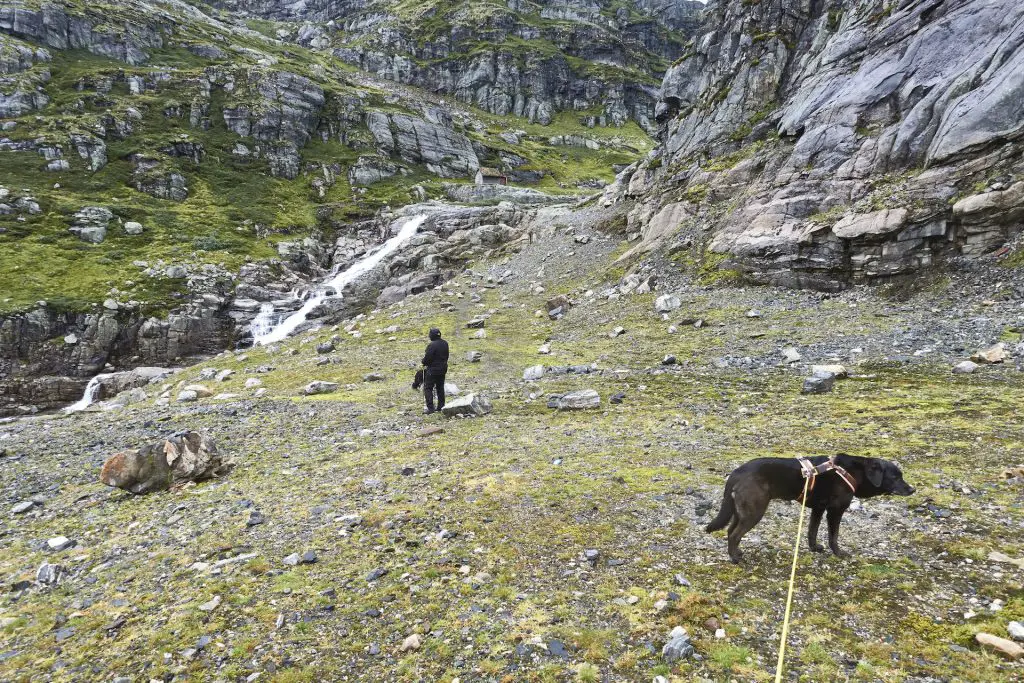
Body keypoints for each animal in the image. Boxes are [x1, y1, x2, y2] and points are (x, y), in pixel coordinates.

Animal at [708, 456, 917, 565]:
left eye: (901, 476)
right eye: (895, 477)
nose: (913, 489)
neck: (854, 472)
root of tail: (736, 472)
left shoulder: (818, 508)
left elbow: (812, 531)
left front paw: (814, 548)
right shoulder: (835, 510)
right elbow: (834, 536)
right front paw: (839, 553)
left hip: (740, 510)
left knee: (730, 531)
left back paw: (737, 552)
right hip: (754, 510)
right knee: (734, 534)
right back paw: (735, 558)